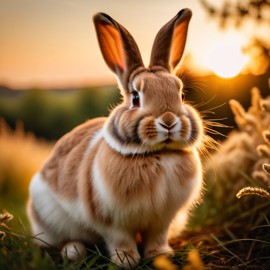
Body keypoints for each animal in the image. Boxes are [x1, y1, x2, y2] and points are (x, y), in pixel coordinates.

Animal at [28, 7, 205, 268]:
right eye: (135, 97)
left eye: (181, 95)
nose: (169, 120)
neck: (158, 156)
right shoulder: (112, 223)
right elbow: (120, 240)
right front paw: (126, 261)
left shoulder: (162, 220)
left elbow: (157, 237)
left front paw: (160, 256)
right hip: (50, 221)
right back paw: (73, 251)